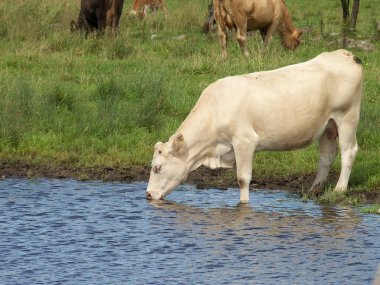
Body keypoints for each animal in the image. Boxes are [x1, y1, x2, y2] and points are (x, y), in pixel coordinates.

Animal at [145, 50, 362, 203]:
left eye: (157, 167)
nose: (147, 194)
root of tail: (345, 54)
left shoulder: (245, 141)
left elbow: (243, 179)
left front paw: (244, 205)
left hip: (347, 116)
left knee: (348, 152)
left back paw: (339, 189)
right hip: (328, 126)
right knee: (326, 156)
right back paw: (312, 191)